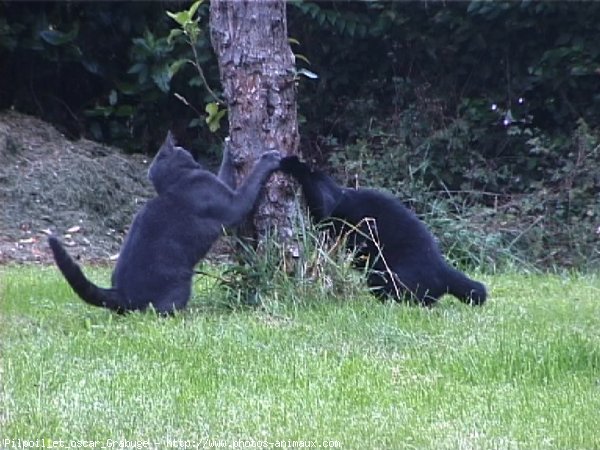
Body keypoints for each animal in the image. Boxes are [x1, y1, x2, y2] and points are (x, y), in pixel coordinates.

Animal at [49, 132, 282, 312]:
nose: (187, 149)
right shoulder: (231, 203)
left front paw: (227, 145)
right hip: (180, 283)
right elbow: (249, 184)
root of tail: (120, 293)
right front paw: (270, 157)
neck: (175, 182)